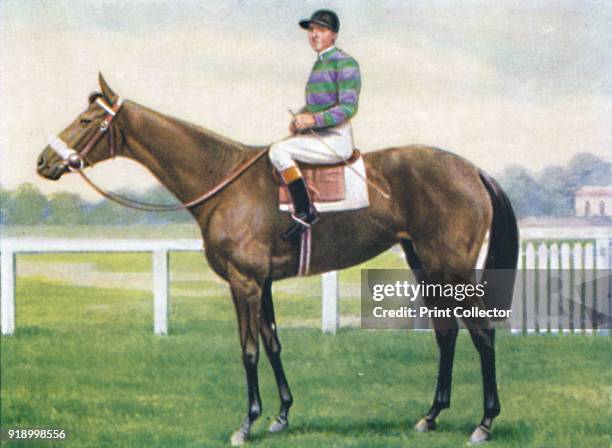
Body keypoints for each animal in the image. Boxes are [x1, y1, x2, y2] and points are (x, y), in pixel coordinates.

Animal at [37, 73, 516, 444]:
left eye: (86, 120)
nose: (43, 162)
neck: (223, 180)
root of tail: (473, 170)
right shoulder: (262, 282)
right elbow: (272, 343)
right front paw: (280, 416)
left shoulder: (244, 281)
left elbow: (248, 349)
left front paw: (246, 424)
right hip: (426, 266)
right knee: (447, 332)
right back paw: (431, 416)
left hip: (453, 268)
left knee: (482, 332)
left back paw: (484, 423)